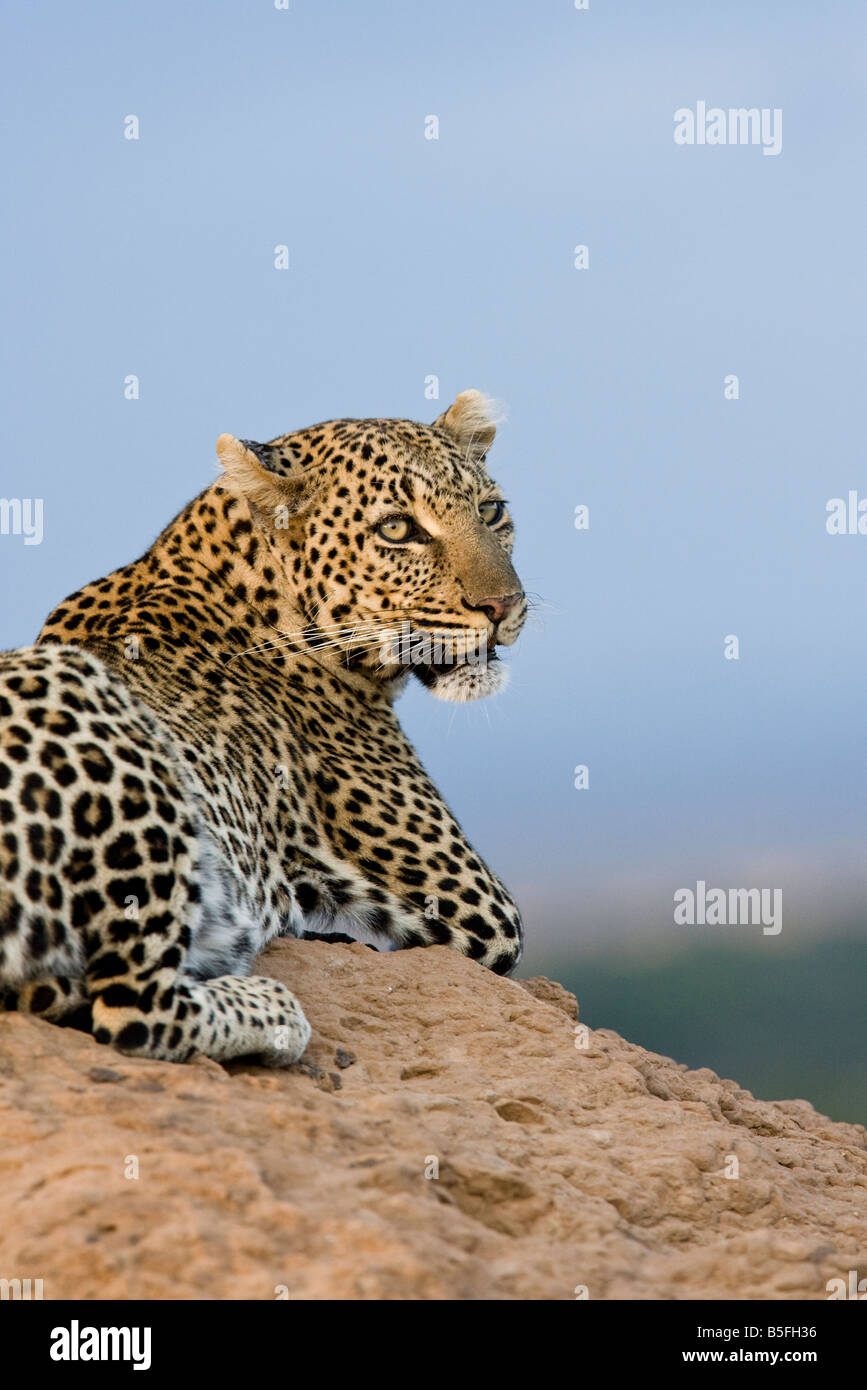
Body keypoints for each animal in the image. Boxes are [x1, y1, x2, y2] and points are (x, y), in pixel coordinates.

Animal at [0, 391, 527, 1061]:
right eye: (397, 529)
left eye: (491, 511)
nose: (504, 606)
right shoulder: (477, 905)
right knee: (131, 1011)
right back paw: (276, 1013)